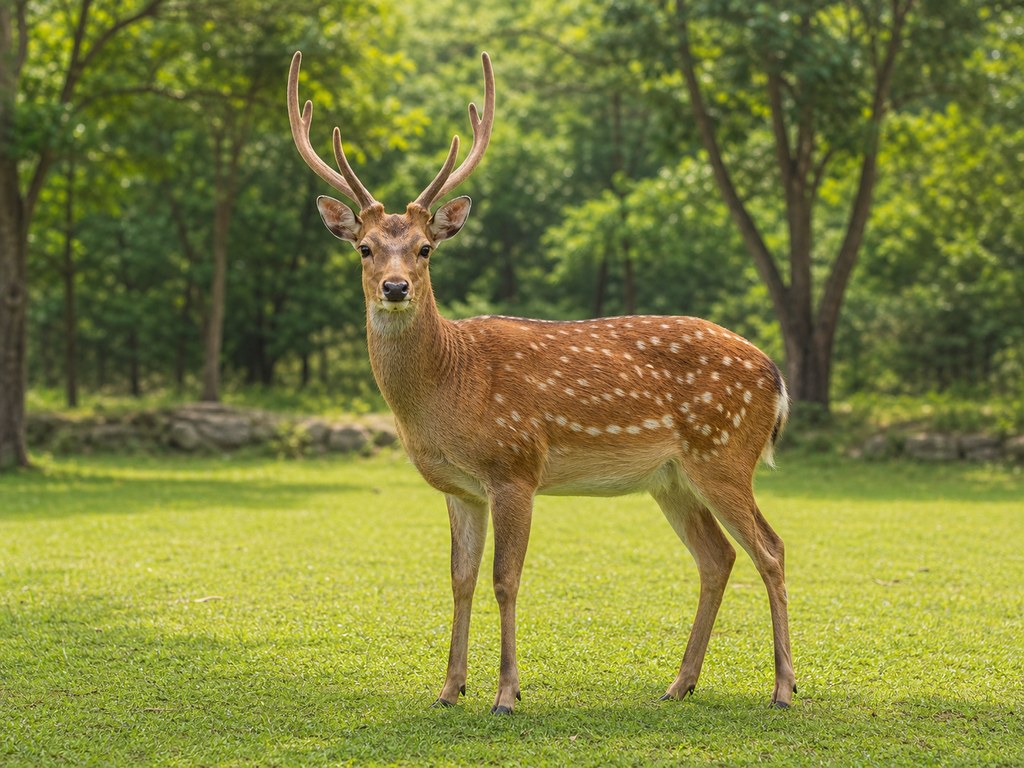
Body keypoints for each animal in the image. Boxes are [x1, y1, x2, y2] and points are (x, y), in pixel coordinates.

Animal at [287, 50, 796, 714]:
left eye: (425, 249)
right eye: (366, 248)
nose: (395, 288)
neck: (449, 387)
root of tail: (775, 375)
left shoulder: (515, 466)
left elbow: (506, 579)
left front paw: (507, 693)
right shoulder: (460, 488)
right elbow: (460, 579)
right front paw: (449, 688)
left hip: (725, 454)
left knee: (771, 548)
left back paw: (784, 687)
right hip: (672, 478)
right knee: (718, 557)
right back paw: (679, 683)